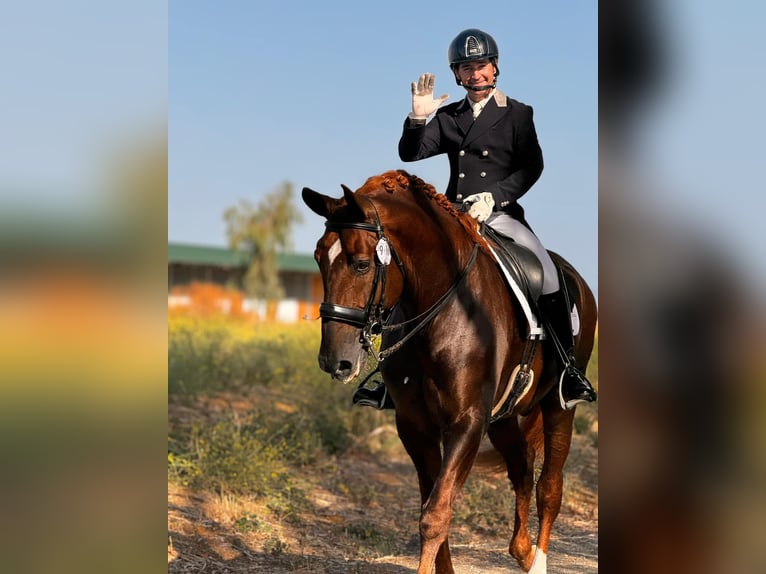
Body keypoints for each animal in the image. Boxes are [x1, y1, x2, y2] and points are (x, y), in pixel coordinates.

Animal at [302, 169, 600, 572]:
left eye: (361, 263)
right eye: (319, 258)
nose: (334, 360)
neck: (444, 307)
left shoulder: (467, 423)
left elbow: (435, 514)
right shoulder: (415, 425)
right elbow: (431, 503)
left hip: (559, 407)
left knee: (549, 487)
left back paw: (537, 559)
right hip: (504, 417)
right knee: (522, 470)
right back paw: (521, 550)